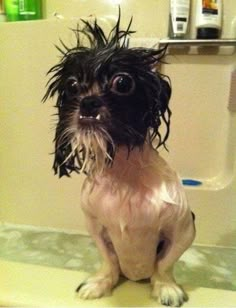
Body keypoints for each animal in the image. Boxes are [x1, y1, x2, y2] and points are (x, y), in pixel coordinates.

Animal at [43, 12, 195, 308]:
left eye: (122, 83)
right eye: (72, 85)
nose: (88, 102)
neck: (124, 175)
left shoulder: (184, 229)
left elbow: (164, 264)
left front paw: (166, 287)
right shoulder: (95, 225)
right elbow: (109, 260)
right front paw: (100, 283)